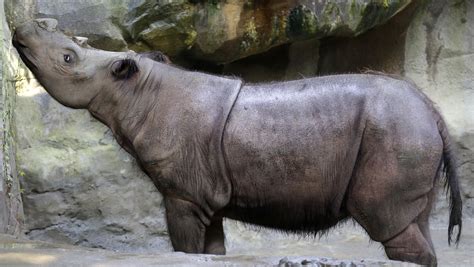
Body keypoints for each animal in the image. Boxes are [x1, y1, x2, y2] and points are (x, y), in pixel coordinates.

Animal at [12, 18, 462, 266]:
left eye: (68, 58)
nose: (23, 29)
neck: (135, 91)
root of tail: (433, 112)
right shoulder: (204, 193)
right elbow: (211, 251)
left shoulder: (182, 195)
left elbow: (183, 248)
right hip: (407, 130)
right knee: (414, 222)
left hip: (394, 133)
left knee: (389, 224)